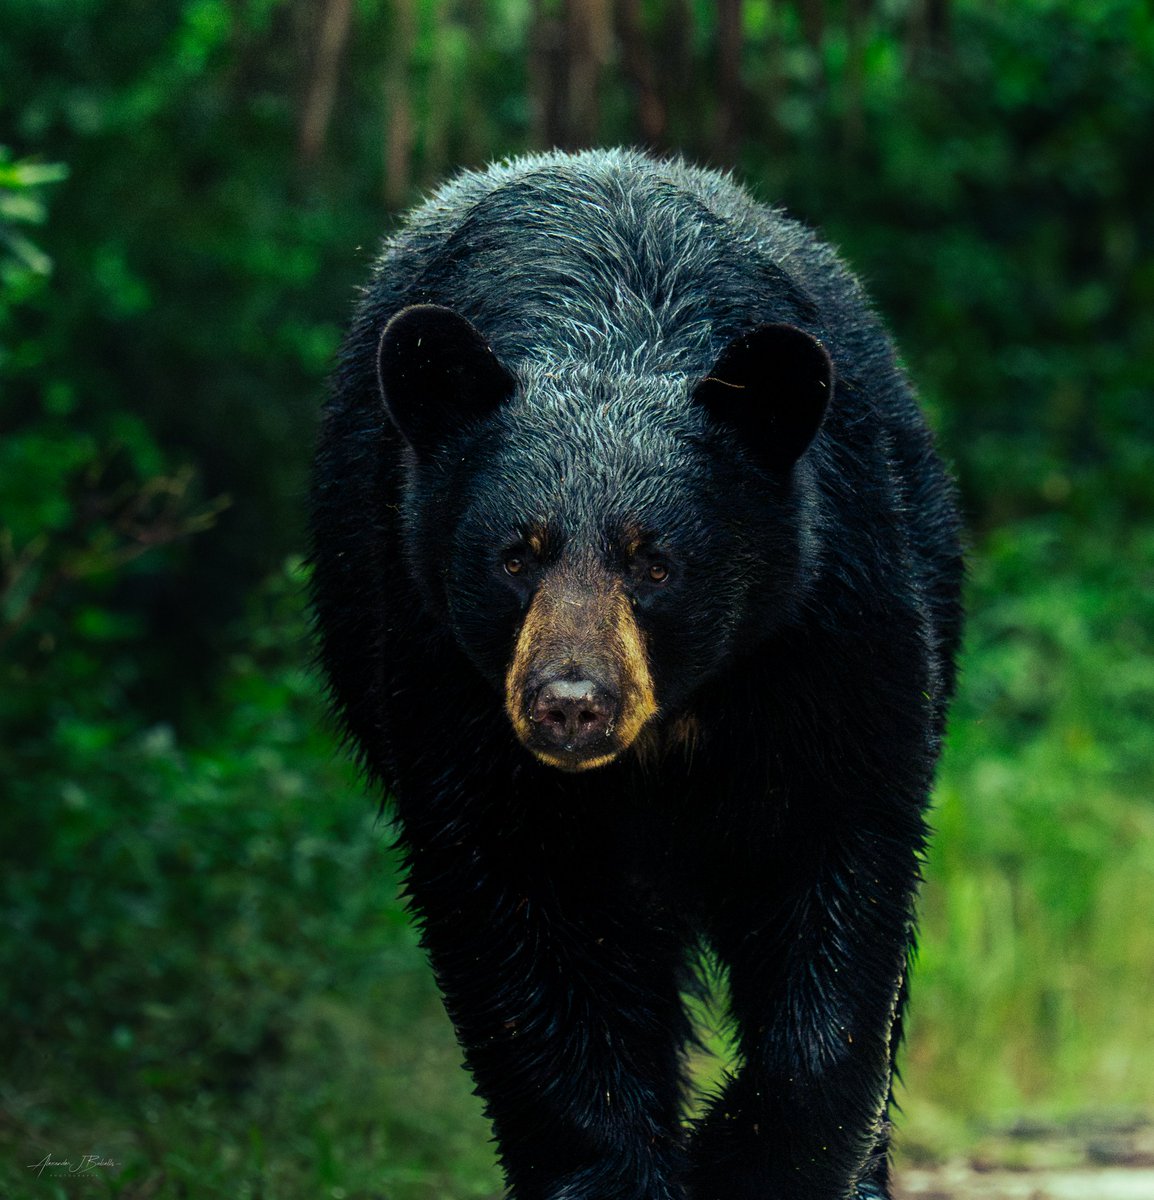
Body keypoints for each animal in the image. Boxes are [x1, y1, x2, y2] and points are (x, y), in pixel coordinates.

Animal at [309, 148, 963, 1200]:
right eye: (516, 556)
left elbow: (841, 872)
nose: (571, 705)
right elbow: (524, 926)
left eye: (655, 562)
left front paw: (751, 1156)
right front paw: (623, 1169)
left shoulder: (829, 627)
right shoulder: (437, 666)